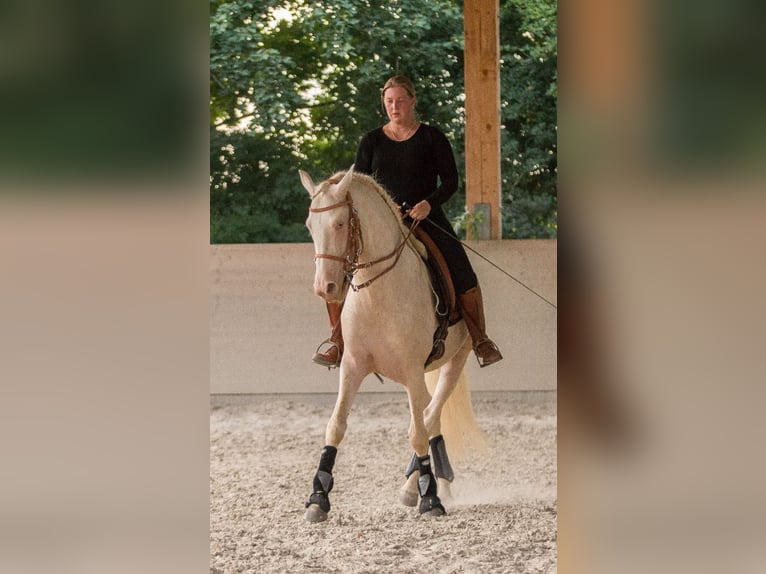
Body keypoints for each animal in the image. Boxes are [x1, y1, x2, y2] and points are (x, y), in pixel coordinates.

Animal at [300, 166, 486, 528]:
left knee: (428, 417)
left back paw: (424, 485)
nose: (325, 287)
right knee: (430, 418)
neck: (378, 291)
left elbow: (417, 432)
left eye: (340, 223)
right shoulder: (352, 366)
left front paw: (430, 499)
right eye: (310, 225)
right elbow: (336, 426)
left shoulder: (413, 371)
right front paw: (318, 497)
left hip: (453, 362)